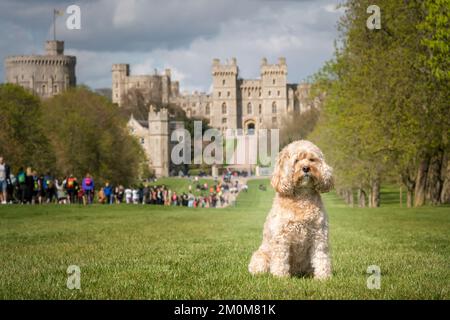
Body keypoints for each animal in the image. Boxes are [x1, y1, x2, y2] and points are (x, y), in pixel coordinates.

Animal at [250, 141, 334, 280]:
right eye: (296, 160)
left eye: (312, 159)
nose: (306, 168)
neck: (302, 197)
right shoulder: (281, 236)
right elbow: (280, 259)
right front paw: (280, 277)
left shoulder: (319, 234)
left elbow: (321, 257)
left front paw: (323, 277)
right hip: (261, 257)